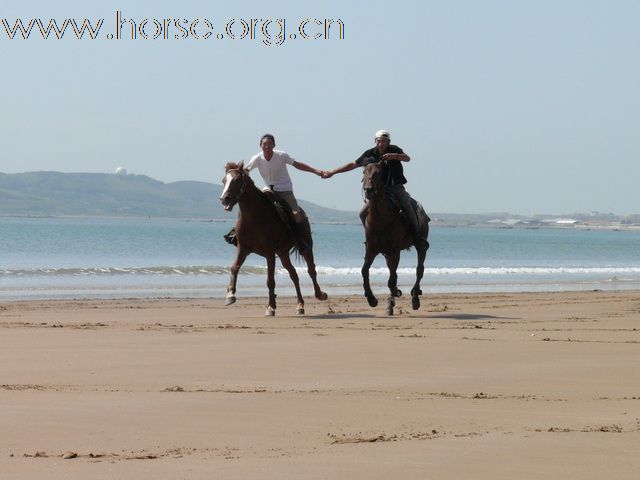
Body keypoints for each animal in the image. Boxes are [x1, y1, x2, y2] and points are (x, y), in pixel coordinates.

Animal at [221, 163, 330, 316]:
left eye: (236, 180)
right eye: (224, 181)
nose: (224, 199)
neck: (253, 217)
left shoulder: (269, 253)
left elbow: (270, 280)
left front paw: (271, 307)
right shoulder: (243, 249)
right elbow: (234, 268)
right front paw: (230, 295)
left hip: (306, 246)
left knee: (311, 270)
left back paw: (320, 294)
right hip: (283, 253)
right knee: (294, 274)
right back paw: (300, 305)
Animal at [360, 161, 430, 316]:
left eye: (379, 172)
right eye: (363, 172)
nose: (368, 190)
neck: (380, 220)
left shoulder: (395, 250)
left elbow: (392, 280)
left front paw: (396, 292)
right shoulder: (372, 250)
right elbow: (365, 271)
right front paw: (371, 299)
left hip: (420, 246)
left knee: (419, 270)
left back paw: (415, 298)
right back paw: (390, 304)